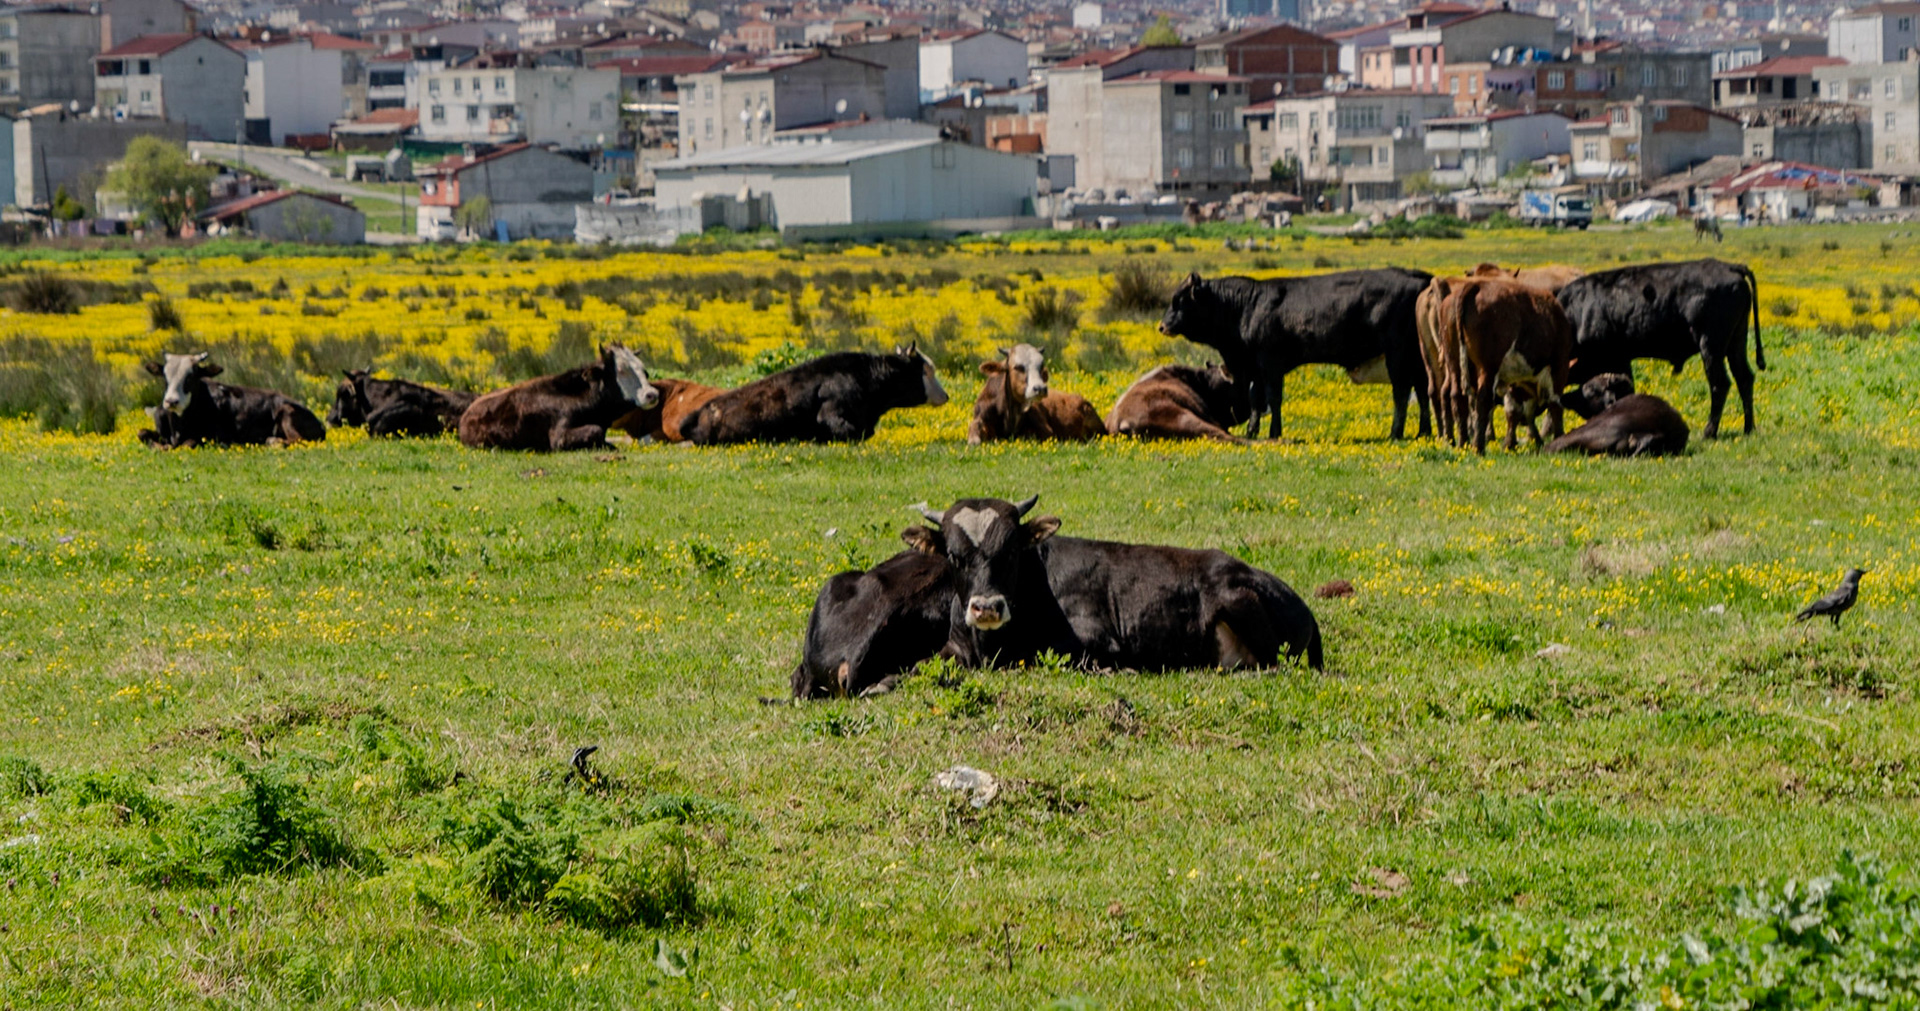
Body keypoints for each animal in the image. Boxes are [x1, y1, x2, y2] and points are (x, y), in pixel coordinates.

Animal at [138, 352, 326, 448]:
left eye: (190, 377)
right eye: (165, 377)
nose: (171, 401)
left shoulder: (212, 437)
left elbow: (188, 443)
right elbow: (142, 433)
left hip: (287, 412)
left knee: (296, 439)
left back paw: (273, 441)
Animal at [1158, 267, 1433, 440]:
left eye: (1180, 300)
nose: (1162, 326)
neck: (1246, 307)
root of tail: (1421, 277)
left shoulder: (1270, 364)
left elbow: (1273, 398)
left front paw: (1274, 432)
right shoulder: (1254, 367)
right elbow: (1256, 399)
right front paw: (1252, 431)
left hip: (1397, 353)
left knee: (1402, 392)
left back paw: (1396, 432)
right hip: (1416, 357)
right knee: (1422, 390)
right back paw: (1423, 432)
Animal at [1447, 276, 1573, 454]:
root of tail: (1477, 285)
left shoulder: (1514, 381)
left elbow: (1513, 410)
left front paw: (1510, 444)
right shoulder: (1559, 366)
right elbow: (1555, 405)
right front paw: (1559, 438)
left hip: (1454, 362)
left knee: (1458, 398)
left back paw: (1463, 444)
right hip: (1488, 367)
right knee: (1483, 399)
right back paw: (1478, 448)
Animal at [1553, 259, 1764, 438]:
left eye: (1589, 392)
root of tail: (1730, 267)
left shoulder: (1599, 359)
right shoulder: (1621, 360)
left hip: (1711, 346)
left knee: (1720, 384)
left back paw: (1709, 432)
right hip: (1736, 342)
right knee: (1744, 378)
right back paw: (1748, 428)